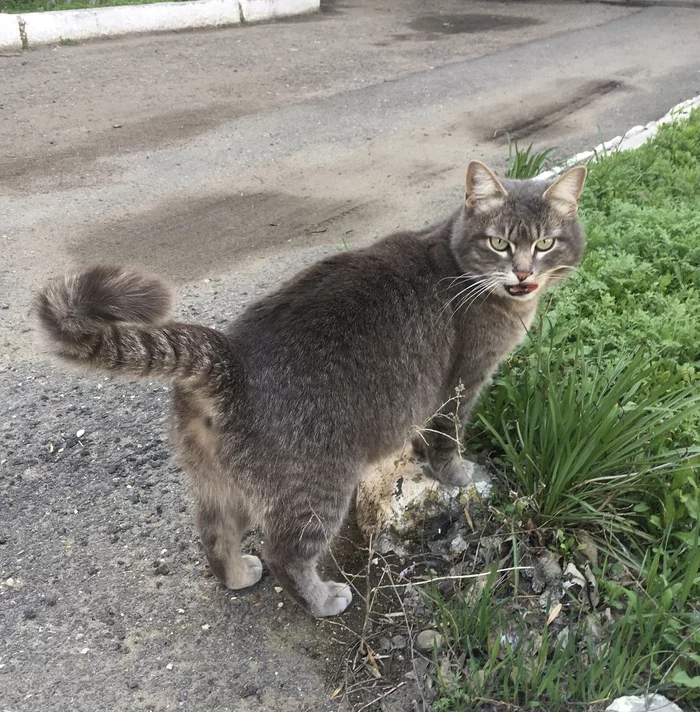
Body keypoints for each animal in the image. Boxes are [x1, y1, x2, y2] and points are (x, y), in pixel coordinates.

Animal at [35, 159, 588, 616]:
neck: (459, 265)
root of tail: (230, 358)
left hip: (218, 484)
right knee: (286, 554)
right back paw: (322, 599)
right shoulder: (461, 385)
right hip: (317, 487)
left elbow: (421, 437)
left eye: (544, 244)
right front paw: (458, 476)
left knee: (214, 534)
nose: (523, 275)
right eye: (500, 243)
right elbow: (447, 442)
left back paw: (236, 575)